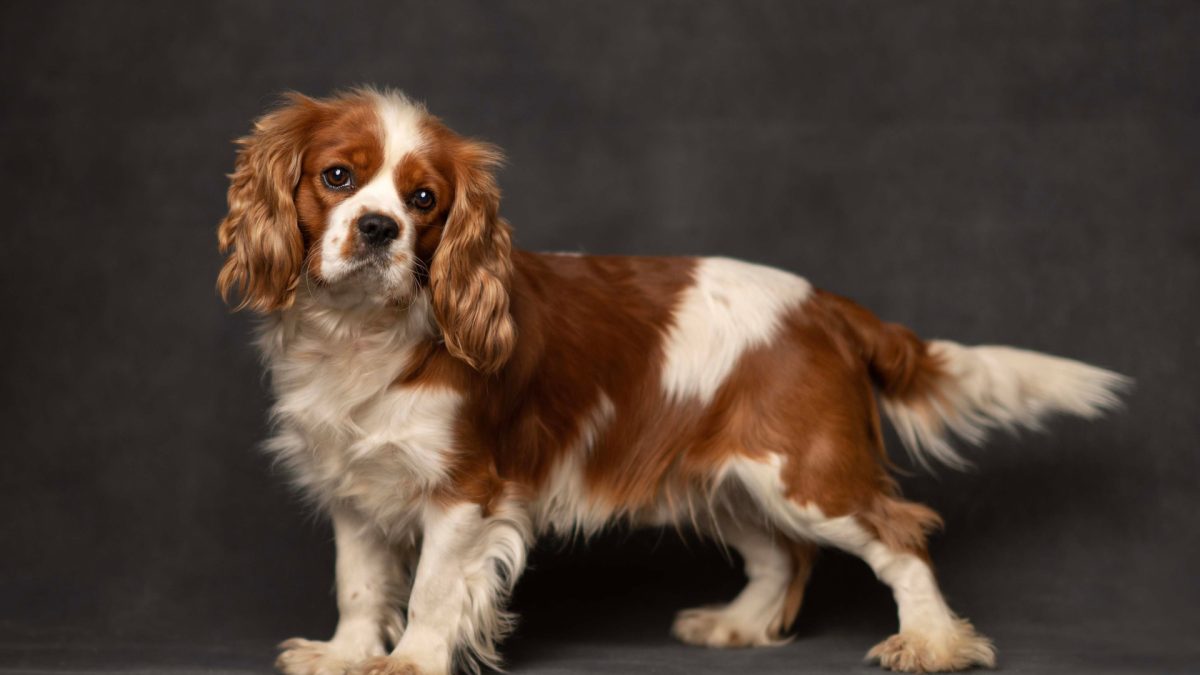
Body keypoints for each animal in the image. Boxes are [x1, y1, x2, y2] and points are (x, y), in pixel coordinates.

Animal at [220, 89, 1128, 672]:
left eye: (424, 199)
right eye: (337, 177)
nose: (379, 228)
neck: (363, 332)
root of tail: (826, 303)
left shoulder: (465, 490)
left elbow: (434, 589)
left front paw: (408, 661)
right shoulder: (353, 487)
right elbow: (361, 582)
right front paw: (342, 656)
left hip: (805, 473)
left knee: (900, 534)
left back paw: (934, 643)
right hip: (725, 484)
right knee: (783, 557)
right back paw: (739, 627)